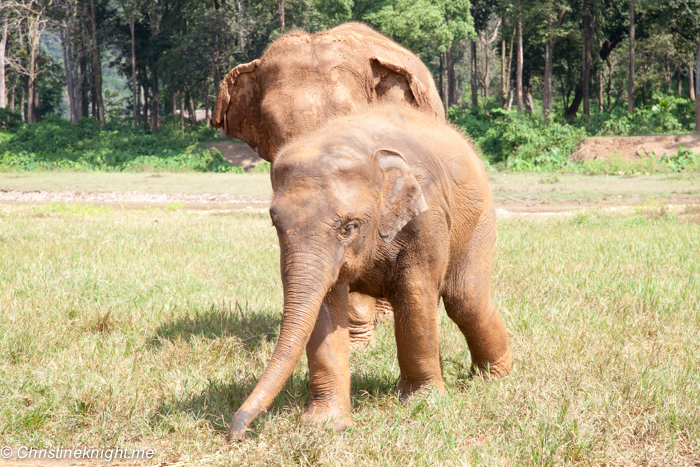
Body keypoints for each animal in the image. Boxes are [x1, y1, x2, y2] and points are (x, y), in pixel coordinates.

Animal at [227, 104, 512, 444]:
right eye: (274, 222)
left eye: (347, 228)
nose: (237, 433)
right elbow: (325, 308)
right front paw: (326, 424)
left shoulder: (427, 215)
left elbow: (415, 293)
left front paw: (423, 404)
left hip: (477, 218)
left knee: (465, 299)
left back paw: (493, 379)